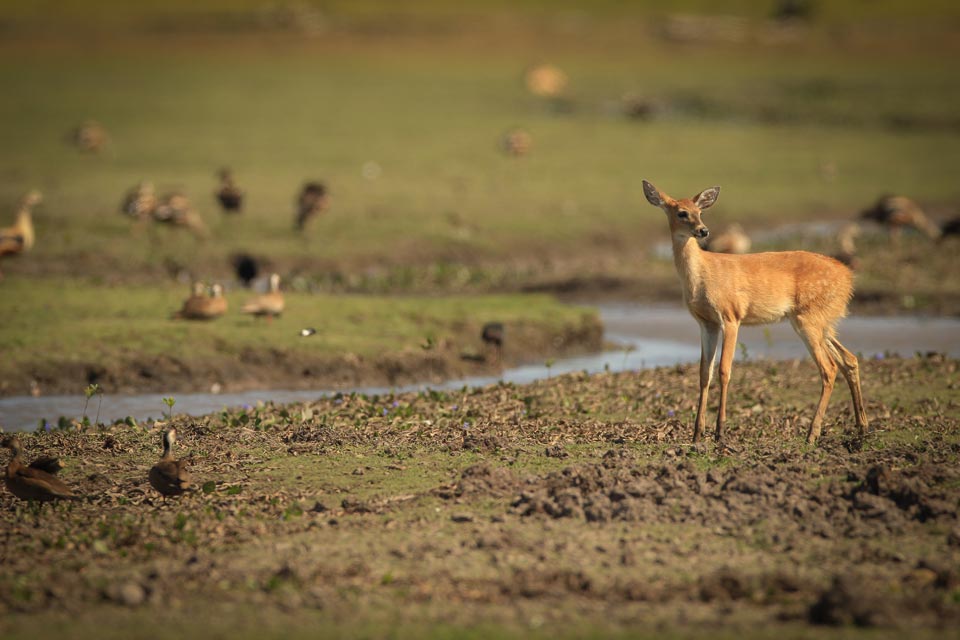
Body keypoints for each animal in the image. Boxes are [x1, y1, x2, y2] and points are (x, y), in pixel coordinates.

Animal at [644, 180, 872, 444]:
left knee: (829, 368)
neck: (701, 276)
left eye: (699, 211)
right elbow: (703, 373)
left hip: (808, 319)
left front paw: (720, 431)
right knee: (849, 359)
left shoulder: (731, 315)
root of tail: (848, 278)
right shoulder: (706, 323)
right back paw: (862, 428)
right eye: (682, 212)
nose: (703, 231)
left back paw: (812, 435)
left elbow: (724, 370)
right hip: (823, 321)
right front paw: (697, 434)